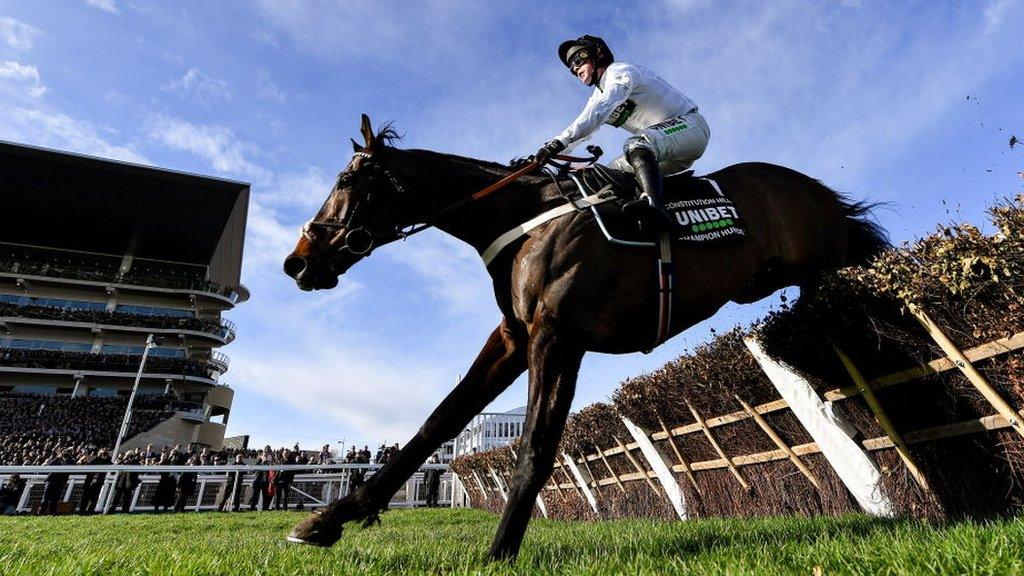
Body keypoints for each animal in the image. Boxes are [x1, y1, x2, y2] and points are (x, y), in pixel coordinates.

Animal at [282, 114, 888, 557]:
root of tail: (819, 192)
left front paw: (499, 552)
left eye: (345, 181)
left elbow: (535, 446)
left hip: (819, 268)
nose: (298, 261)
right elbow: (438, 422)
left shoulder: (558, 336)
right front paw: (328, 520)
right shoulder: (514, 337)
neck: (526, 218)